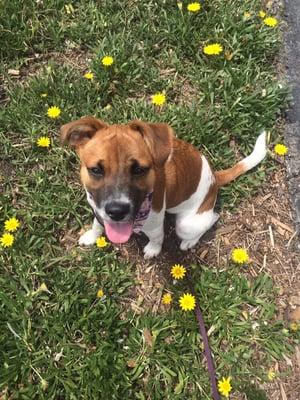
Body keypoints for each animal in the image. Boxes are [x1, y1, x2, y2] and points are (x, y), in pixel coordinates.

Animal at [59, 117, 266, 258]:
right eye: (95, 170)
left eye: (139, 169)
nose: (117, 211)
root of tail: (215, 177)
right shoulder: (98, 210)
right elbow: (97, 224)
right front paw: (91, 236)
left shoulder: (154, 223)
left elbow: (157, 237)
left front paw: (153, 250)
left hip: (186, 224)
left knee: (213, 218)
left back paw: (189, 242)